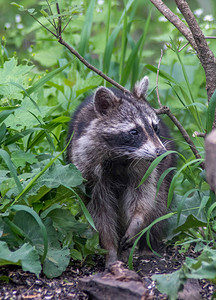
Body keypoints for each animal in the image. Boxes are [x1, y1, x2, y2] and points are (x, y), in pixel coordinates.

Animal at [66, 76, 176, 266]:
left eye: (154, 127)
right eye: (134, 132)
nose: (161, 153)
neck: (120, 155)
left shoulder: (146, 167)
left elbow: (144, 197)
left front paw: (136, 223)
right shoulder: (87, 168)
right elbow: (100, 212)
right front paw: (110, 249)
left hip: (165, 170)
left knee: (159, 203)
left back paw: (146, 243)